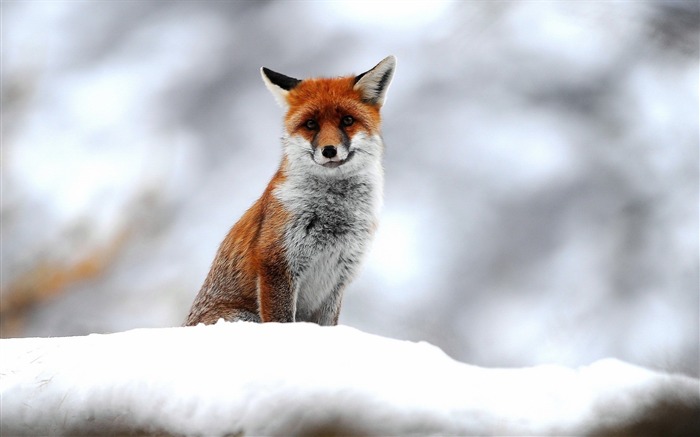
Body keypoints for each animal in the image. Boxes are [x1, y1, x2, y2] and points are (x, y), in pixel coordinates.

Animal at [183, 56, 396, 326]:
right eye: (311, 124)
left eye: (347, 121)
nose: (329, 150)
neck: (334, 216)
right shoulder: (277, 263)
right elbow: (282, 320)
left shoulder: (338, 278)